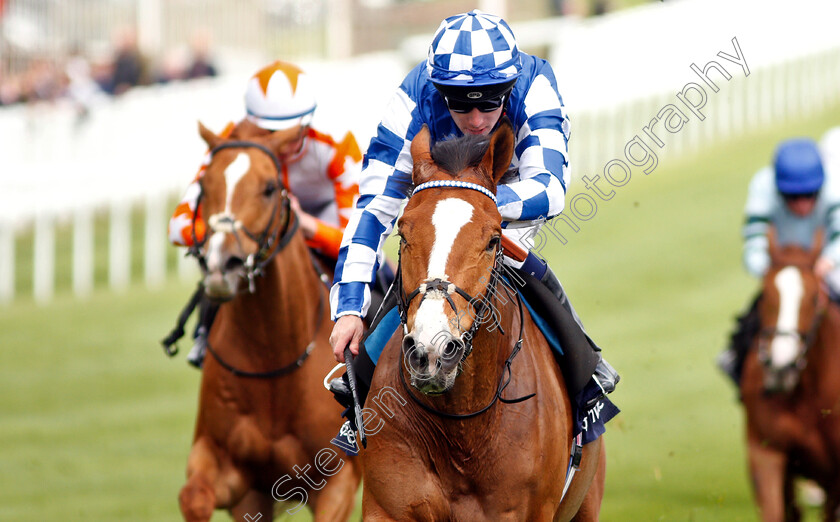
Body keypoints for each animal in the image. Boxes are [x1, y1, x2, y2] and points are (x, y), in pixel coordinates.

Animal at [176, 121, 360, 516]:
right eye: (205, 186)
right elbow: (194, 497)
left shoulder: (339, 480)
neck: (273, 354)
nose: (222, 265)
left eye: (269, 188)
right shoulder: (238, 478)